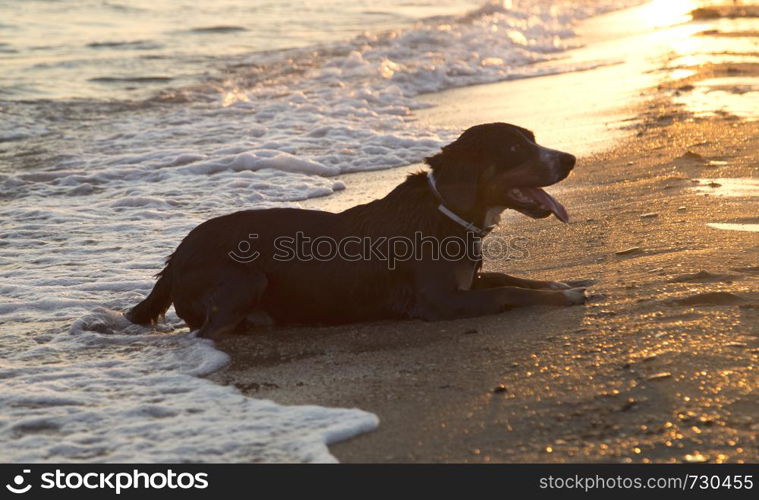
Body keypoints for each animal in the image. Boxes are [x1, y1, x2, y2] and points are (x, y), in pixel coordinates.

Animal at [126, 122, 588, 338]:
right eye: (513, 149)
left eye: (532, 138)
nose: (570, 159)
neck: (445, 212)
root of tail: (176, 256)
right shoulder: (439, 301)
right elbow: (508, 291)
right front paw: (561, 295)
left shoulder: (466, 282)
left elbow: (511, 277)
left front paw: (562, 282)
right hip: (244, 277)